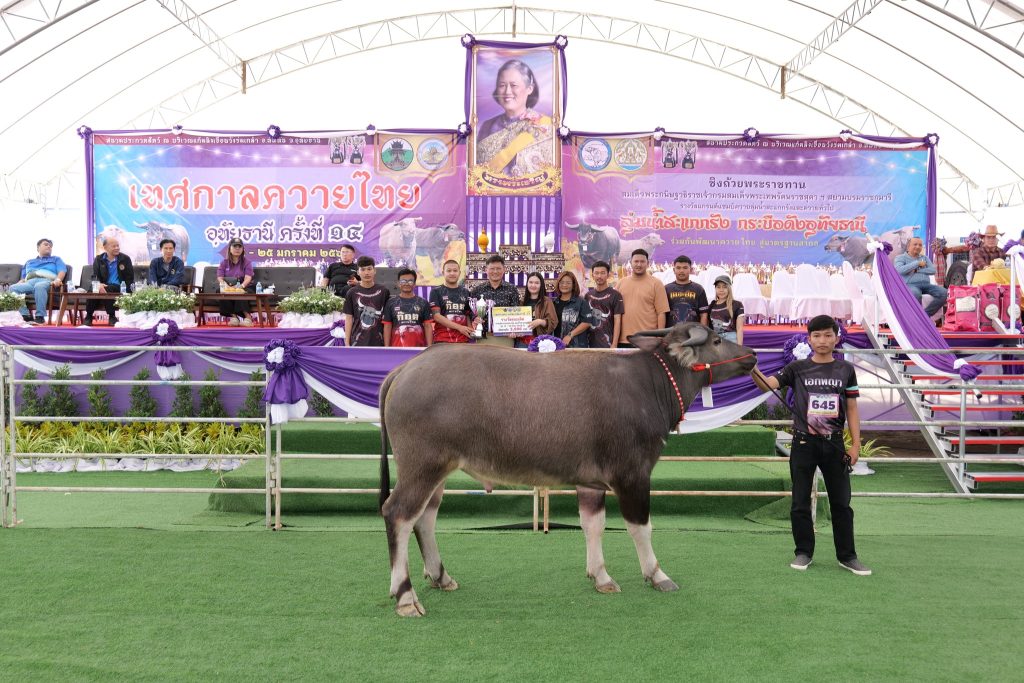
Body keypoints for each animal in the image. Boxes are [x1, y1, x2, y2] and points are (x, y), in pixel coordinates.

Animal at [378, 323, 757, 616]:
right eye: (716, 340)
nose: (752, 354)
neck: (650, 385)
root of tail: (405, 369)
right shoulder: (633, 474)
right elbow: (640, 527)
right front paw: (657, 575)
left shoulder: (591, 482)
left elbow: (593, 525)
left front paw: (600, 576)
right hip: (422, 466)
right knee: (398, 514)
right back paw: (405, 596)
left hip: (436, 471)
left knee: (425, 518)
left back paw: (441, 577)